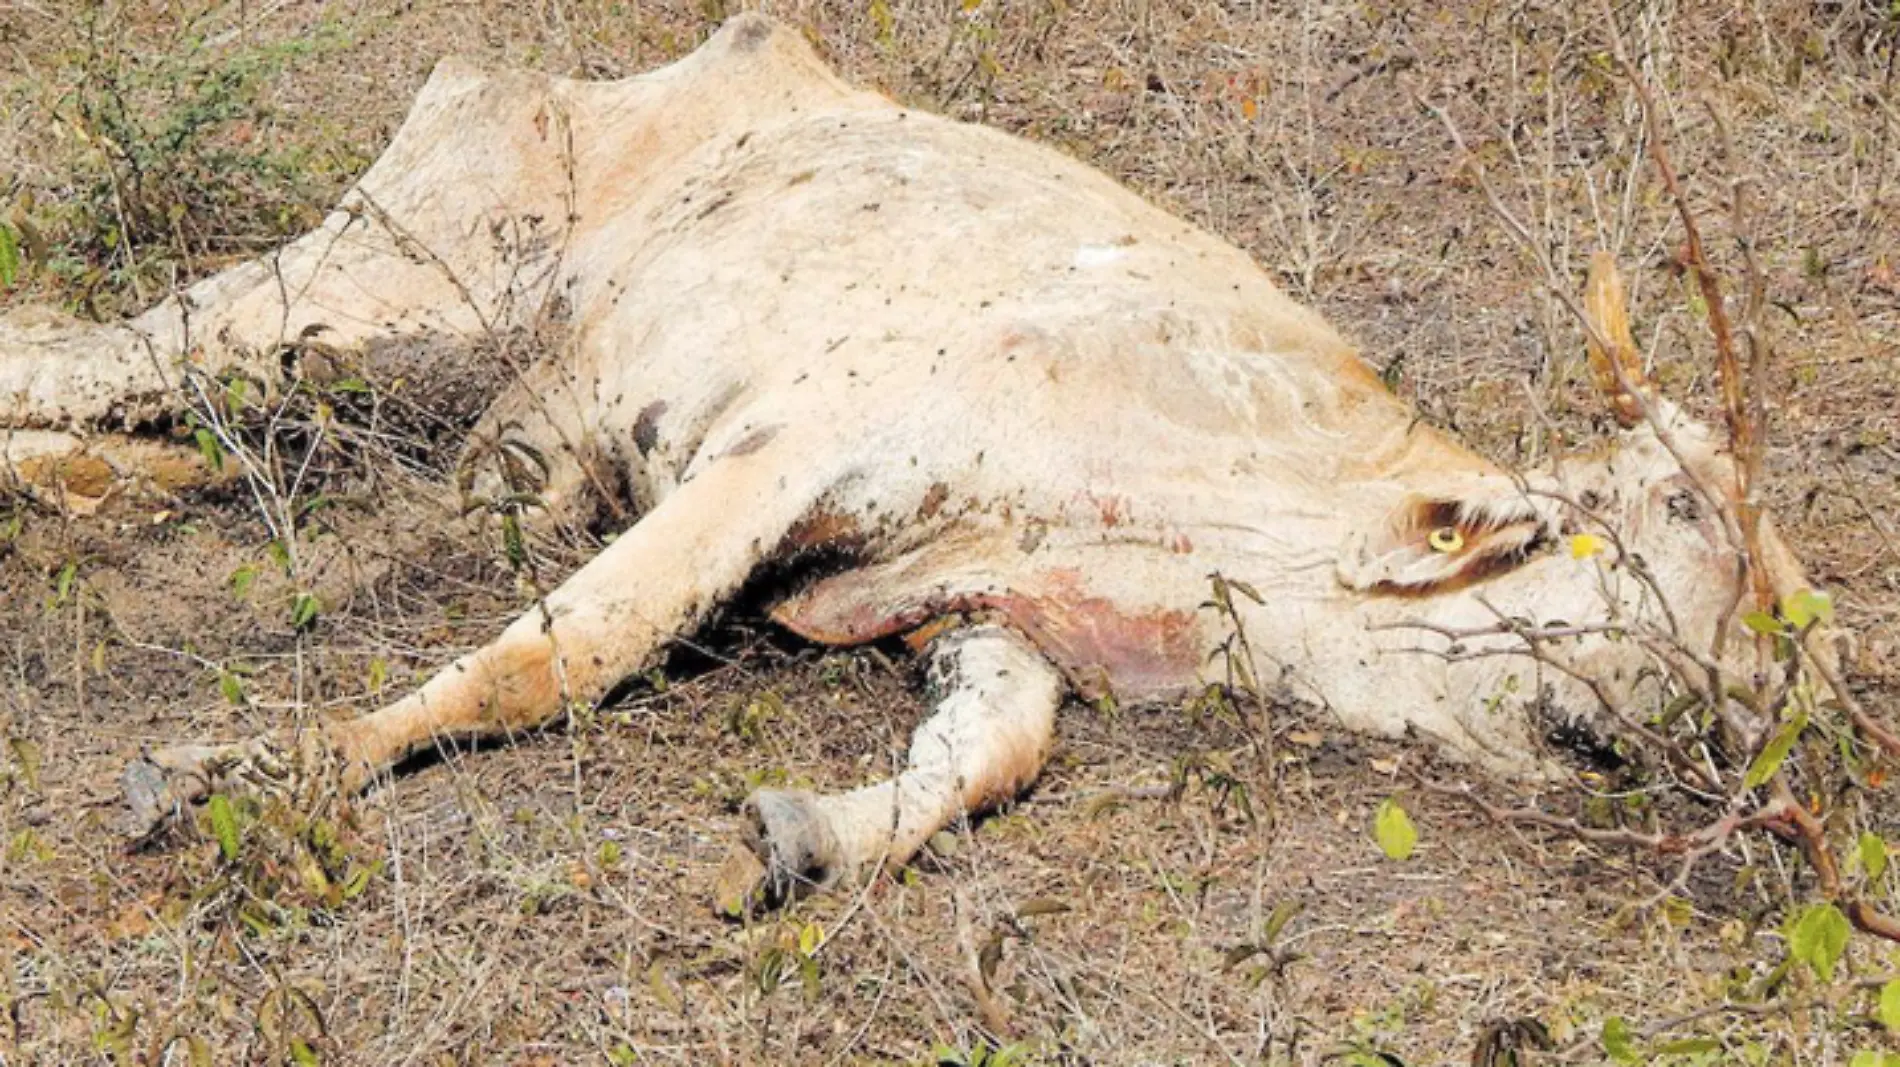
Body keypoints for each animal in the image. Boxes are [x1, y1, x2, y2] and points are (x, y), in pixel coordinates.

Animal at [0, 12, 1808, 899]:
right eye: (1655, 516)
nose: (1765, 726)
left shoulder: (988, 618)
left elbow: (991, 753)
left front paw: (803, 836)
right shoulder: (781, 450)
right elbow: (563, 649)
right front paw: (254, 767)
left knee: (169, 435)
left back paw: (63, 494)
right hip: (381, 290)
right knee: (76, 352)